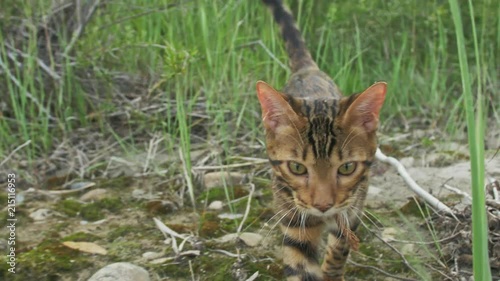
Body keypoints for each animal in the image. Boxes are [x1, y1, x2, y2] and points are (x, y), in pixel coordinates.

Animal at [258, 0, 386, 280]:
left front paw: (332, 271)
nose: (323, 205)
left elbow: (339, 248)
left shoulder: (352, 210)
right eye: (297, 167)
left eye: (347, 167)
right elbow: (301, 265)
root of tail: (309, 69)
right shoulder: (295, 222)